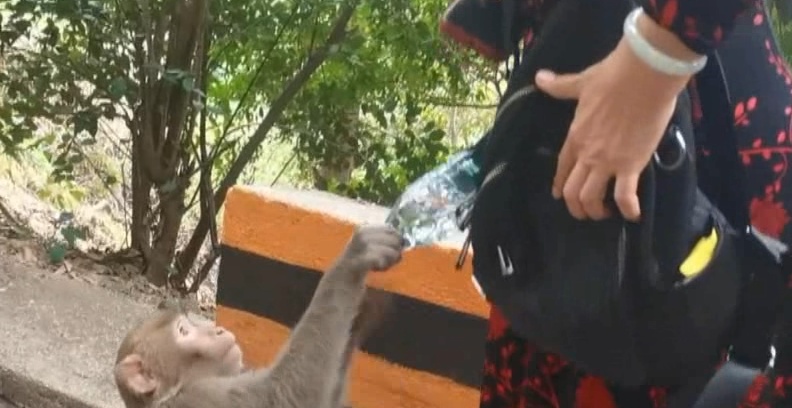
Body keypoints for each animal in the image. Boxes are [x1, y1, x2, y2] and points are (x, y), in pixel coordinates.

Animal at [113, 225, 402, 406]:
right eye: (183, 332)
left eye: (191, 325)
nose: (216, 330)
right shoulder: (201, 397)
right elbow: (284, 395)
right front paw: (352, 262)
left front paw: (365, 309)